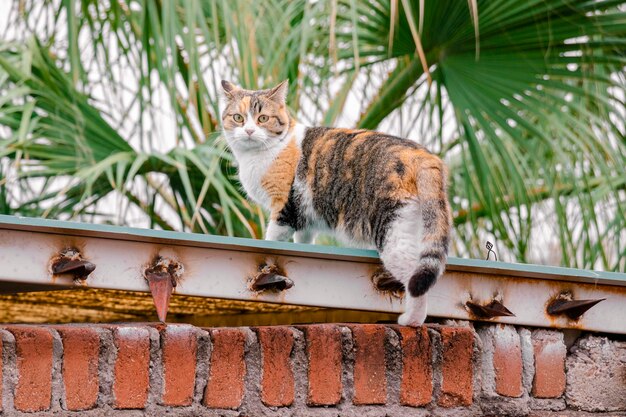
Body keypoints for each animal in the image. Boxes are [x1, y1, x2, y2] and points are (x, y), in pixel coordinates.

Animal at [219, 78, 448, 324]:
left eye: (262, 118)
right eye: (238, 118)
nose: (249, 130)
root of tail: (421, 155)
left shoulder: (283, 208)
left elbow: (272, 238)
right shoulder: (304, 219)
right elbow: (303, 240)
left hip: (392, 230)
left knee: (414, 275)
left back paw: (412, 320)